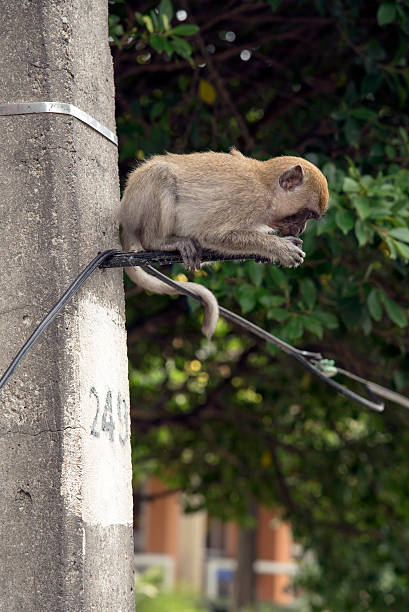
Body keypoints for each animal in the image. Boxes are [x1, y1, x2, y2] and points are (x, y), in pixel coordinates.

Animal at [118, 148, 328, 340]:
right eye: (306, 214)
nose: (301, 229)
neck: (268, 188)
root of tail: (124, 218)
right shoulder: (249, 200)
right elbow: (212, 234)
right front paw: (279, 248)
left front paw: (267, 254)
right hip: (138, 204)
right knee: (161, 175)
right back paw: (158, 241)